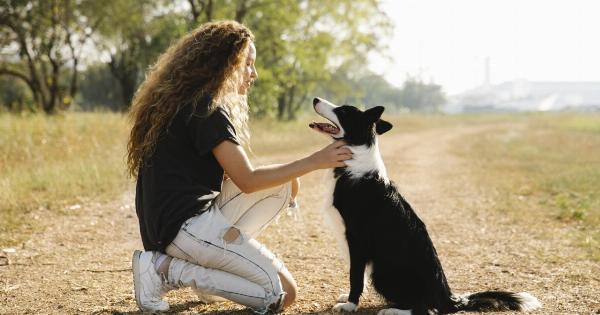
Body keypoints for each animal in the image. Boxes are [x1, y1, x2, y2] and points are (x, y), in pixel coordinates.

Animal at [310, 97, 540, 314]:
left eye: (343, 111)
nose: (315, 99)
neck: (355, 156)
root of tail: (449, 298)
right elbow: (358, 275)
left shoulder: (356, 238)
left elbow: (355, 276)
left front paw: (350, 304)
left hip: (383, 272)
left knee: (425, 309)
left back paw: (392, 310)